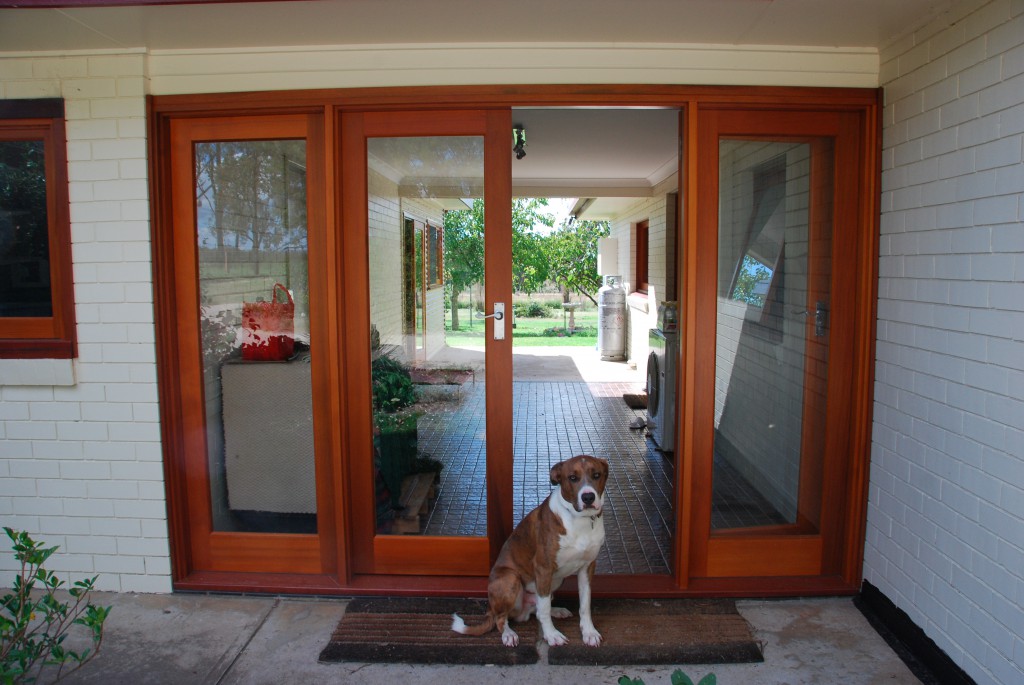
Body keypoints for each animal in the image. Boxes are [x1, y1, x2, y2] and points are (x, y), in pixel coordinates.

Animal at [450, 454, 606, 647]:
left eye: (597, 475)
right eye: (572, 478)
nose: (588, 497)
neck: (581, 520)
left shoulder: (587, 568)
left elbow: (585, 604)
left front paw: (589, 632)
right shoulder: (543, 568)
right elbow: (544, 610)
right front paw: (551, 635)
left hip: (555, 581)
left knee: (537, 609)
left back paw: (557, 611)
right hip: (511, 579)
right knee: (503, 618)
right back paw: (508, 634)